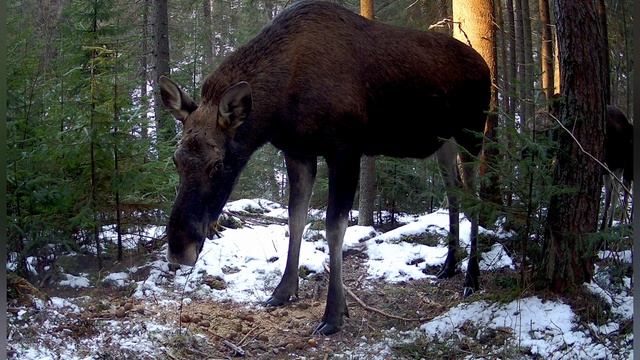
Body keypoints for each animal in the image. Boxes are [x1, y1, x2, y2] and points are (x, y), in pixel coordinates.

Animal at [160, 0, 490, 334]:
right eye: (176, 160)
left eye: (217, 164)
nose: (179, 249)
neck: (279, 107)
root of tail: (485, 65)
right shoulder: (297, 151)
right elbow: (296, 218)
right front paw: (283, 290)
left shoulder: (345, 150)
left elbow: (334, 226)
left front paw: (334, 312)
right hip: (443, 142)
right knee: (453, 192)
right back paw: (449, 265)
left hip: (473, 132)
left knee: (475, 197)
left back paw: (471, 278)